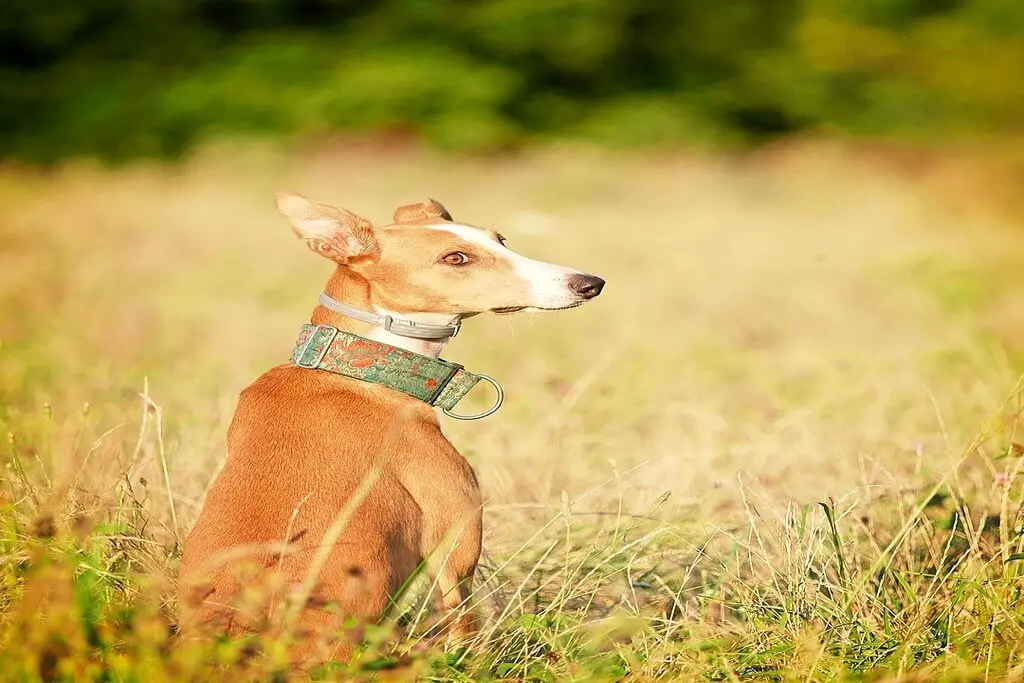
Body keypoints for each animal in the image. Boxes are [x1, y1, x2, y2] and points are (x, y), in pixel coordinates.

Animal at [178, 193, 606, 667]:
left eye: (502, 240)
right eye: (456, 258)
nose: (590, 283)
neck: (363, 366)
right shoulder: (455, 545)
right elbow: (463, 626)